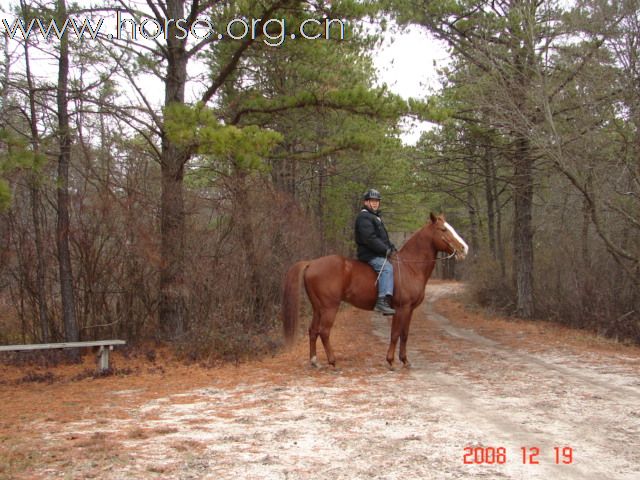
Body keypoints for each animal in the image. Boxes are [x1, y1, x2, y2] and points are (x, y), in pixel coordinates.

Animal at [282, 213, 468, 368]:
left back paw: (314, 361)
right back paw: (333, 361)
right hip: (330, 307)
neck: (410, 267)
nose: (464, 248)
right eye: (443, 229)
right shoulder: (401, 308)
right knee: (324, 332)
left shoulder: (410, 310)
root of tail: (311, 263)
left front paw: (405, 360)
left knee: (313, 331)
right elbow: (395, 334)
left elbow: (405, 334)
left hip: (318, 308)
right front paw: (391, 361)